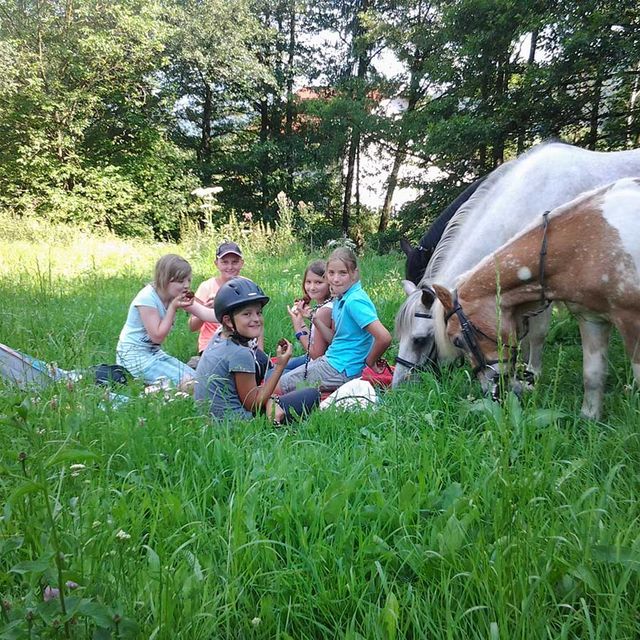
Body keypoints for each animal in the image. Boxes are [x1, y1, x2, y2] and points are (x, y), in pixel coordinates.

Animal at [430, 179, 640, 420]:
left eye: (457, 340)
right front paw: (589, 420)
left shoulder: (631, 319)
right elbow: (593, 375)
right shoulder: (591, 319)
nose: (491, 391)